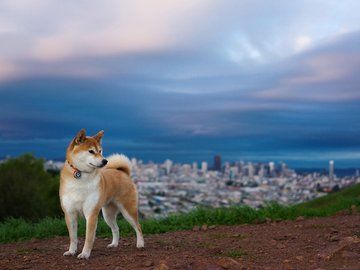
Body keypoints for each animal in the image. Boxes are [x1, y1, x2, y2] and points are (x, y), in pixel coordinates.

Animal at [59, 129, 143, 260]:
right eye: (91, 151)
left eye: (100, 151)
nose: (105, 161)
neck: (81, 175)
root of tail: (123, 173)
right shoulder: (70, 214)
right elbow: (73, 238)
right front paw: (71, 251)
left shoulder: (91, 214)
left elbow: (89, 238)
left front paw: (85, 254)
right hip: (108, 214)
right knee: (116, 228)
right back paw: (114, 244)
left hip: (128, 210)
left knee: (138, 226)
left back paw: (140, 244)